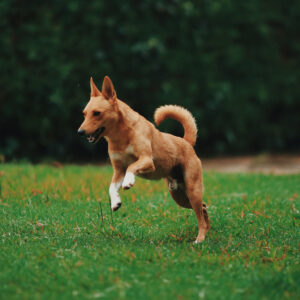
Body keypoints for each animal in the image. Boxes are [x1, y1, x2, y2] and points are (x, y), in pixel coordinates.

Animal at [78, 76, 210, 243]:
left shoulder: (146, 160)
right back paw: (207, 231)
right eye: (84, 114)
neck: (120, 137)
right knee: (203, 208)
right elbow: (111, 187)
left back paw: (200, 239)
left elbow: (132, 167)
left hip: (192, 190)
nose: (80, 132)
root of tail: (186, 142)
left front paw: (128, 181)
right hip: (179, 196)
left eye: (97, 113)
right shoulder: (118, 170)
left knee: (200, 213)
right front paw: (115, 202)